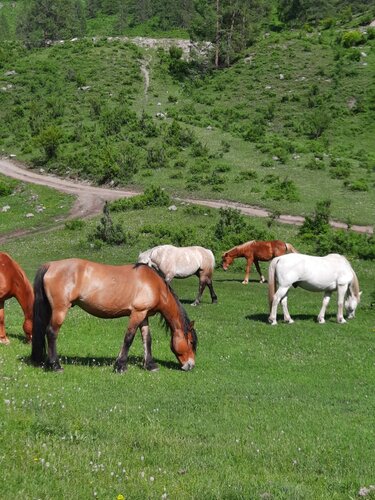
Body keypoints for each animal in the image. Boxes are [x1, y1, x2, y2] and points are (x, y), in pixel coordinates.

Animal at [30, 262, 198, 372]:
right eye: (190, 342)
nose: (190, 365)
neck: (154, 284)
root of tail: (51, 265)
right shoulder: (137, 313)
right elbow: (129, 338)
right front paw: (121, 365)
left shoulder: (144, 315)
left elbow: (147, 339)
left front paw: (150, 365)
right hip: (60, 310)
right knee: (51, 333)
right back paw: (55, 365)